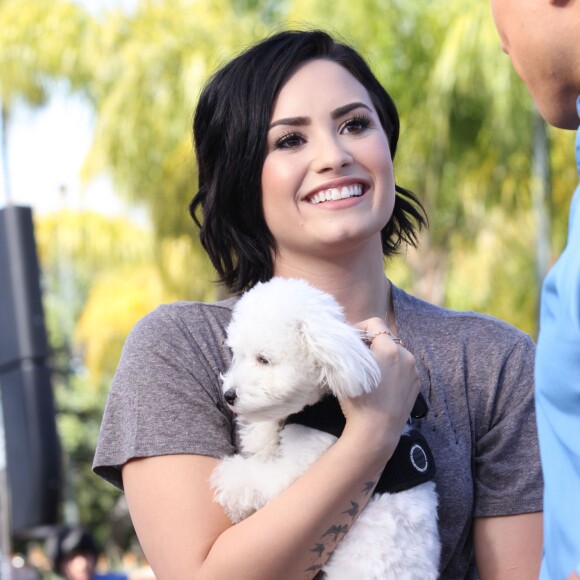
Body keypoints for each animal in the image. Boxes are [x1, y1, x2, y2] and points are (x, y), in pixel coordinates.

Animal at [212, 278, 440, 580]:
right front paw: (260, 433)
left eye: (263, 359)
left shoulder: (301, 468)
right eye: (237, 355)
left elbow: (262, 479)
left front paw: (230, 481)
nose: (229, 395)